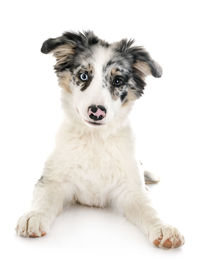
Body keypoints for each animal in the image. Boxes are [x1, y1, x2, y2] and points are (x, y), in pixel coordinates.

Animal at [15, 31, 184, 249]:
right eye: (83, 76)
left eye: (118, 81)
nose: (96, 111)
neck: (94, 140)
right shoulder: (53, 180)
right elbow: (44, 200)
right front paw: (34, 217)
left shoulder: (131, 189)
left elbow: (149, 209)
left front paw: (163, 228)